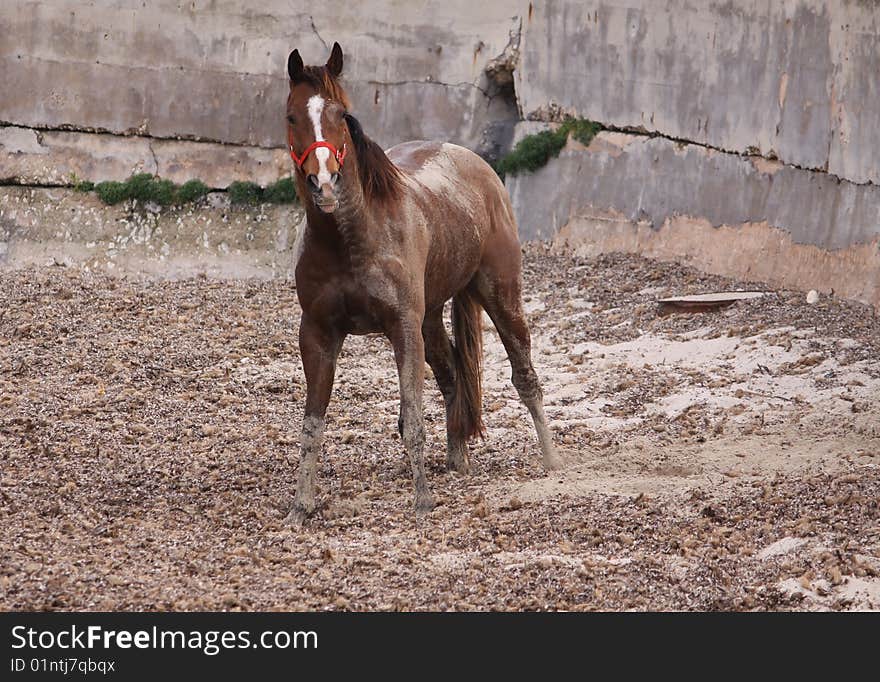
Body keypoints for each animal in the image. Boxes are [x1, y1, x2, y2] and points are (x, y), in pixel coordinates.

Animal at [284, 39, 564, 524]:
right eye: (292, 117)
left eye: (341, 113)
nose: (324, 183)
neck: (352, 239)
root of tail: (476, 164)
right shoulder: (317, 334)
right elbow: (312, 423)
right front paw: (301, 508)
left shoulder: (403, 329)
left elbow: (412, 416)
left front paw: (422, 502)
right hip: (432, 317)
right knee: (452, 373)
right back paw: (457, 458)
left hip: (501, 296)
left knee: (525, 377)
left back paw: (550, 463)